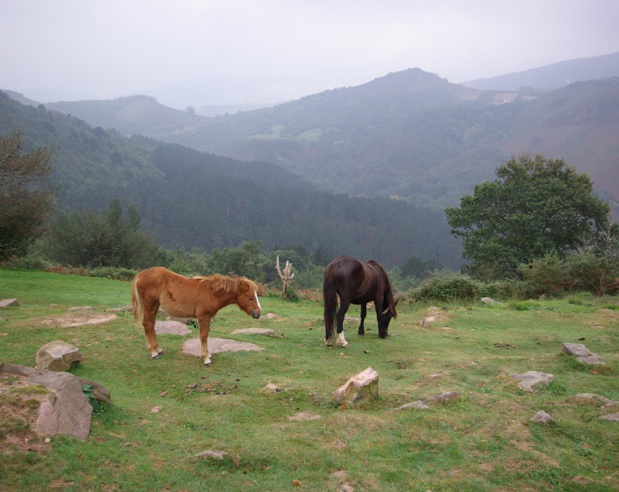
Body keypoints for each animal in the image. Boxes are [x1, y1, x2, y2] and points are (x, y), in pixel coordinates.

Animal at [133, 266, 262, 366]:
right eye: (250, 298)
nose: (258, 313)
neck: (211, 294)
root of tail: (141, 274)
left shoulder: (207, 317)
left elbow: (206, 335)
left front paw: (207, 354)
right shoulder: (203, 317)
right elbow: (203, 336)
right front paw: (206, 359)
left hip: (155, 304)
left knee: (152, 324)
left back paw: (158, 349)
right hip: (149, 303)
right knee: (147, 324)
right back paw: (153, 352)